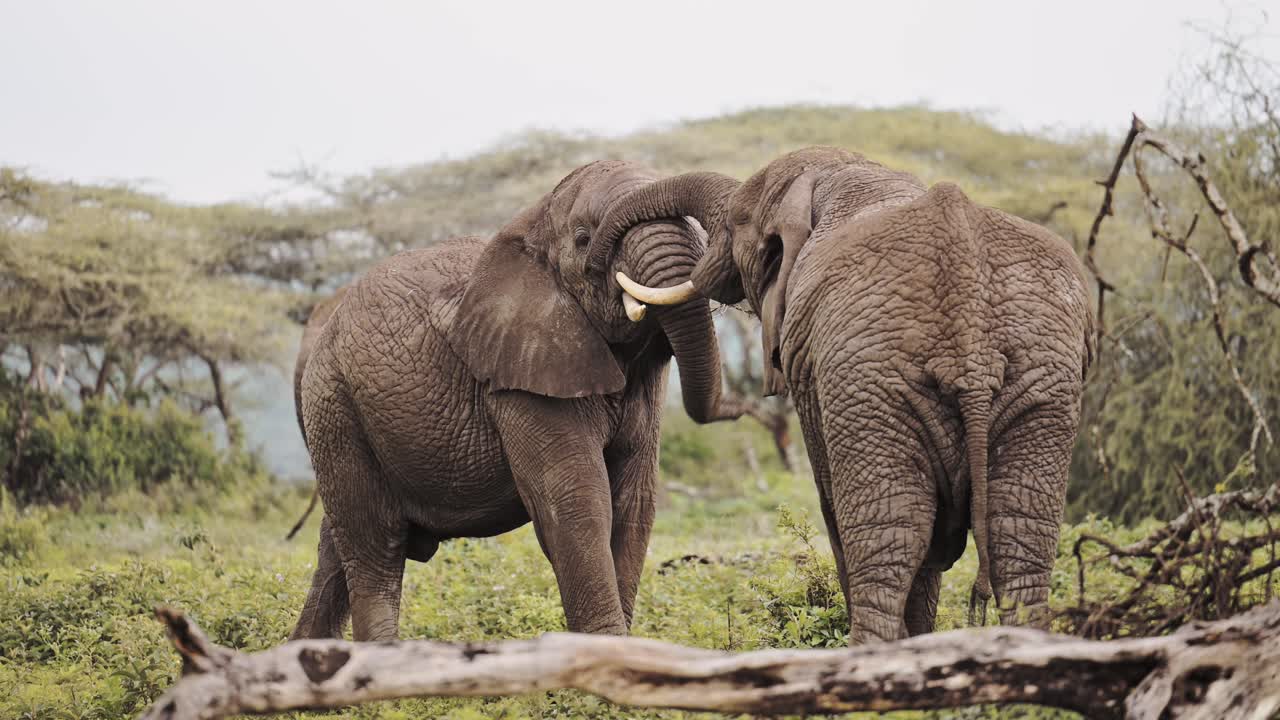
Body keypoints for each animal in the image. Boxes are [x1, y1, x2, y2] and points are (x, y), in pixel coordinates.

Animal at [291, 160, 743, 642]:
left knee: (336, 546)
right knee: (375, 544)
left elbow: (634, 503)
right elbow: (577, 503)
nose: (737, 410)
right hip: (334, 405)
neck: (536, 222)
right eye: (582, 238)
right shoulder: (521, 377)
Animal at [589, 146, 1094, 643]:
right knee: (1019, 537)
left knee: (888, 535)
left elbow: (835, 504)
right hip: (1044, 379)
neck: (850, 173)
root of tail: (968, 324)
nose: (596, 261)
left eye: (735, 222)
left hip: (871, 382)